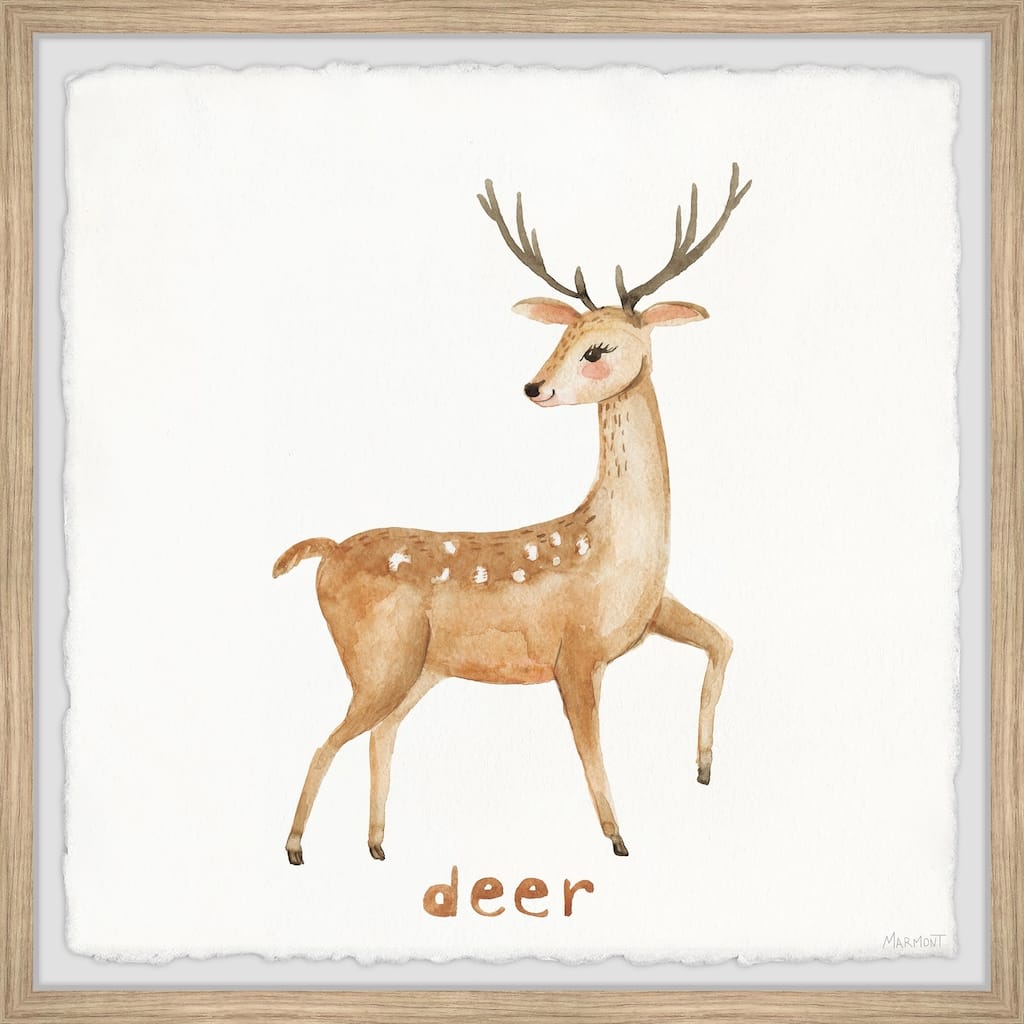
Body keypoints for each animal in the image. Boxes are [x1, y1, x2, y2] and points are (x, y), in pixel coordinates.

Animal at [274, 164, 751, 865]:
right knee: (325, 741)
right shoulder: (574, 655)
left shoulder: (651, 614)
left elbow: (722, 640)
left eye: (595, 348)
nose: (533, 387)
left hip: (419, 670)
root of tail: (326, 551)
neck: (618, 550)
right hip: (378, 659)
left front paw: (704, 767)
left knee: (379, 736)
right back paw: (297, 847)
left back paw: (378, 845)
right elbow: (591, 752)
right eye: (560, 337)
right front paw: (619, 839)